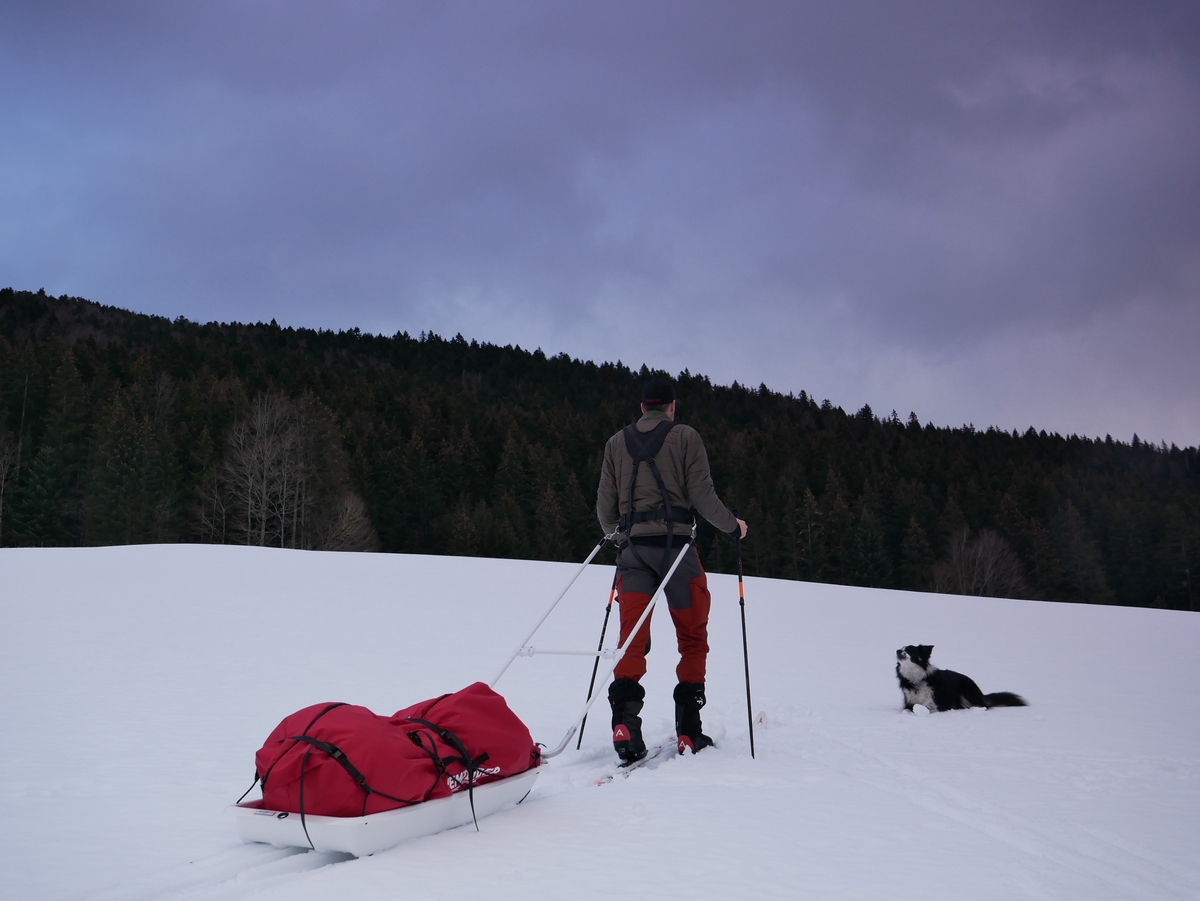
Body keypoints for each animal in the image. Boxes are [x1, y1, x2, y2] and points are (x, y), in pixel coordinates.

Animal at [897, 643, 1027, 715]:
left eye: (910, 650)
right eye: (901, 648)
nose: (897, 651)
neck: (916, 680)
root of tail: (981, 694)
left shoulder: (935, 703)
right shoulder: (909, 701)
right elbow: (907, 709)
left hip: (966, 690)